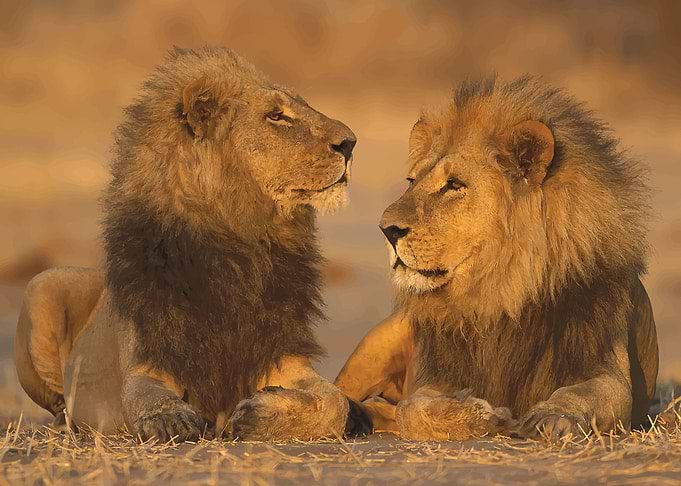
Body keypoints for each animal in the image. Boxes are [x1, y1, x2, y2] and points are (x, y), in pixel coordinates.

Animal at [15, 47, 358, 442]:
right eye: (276, 115)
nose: (350, 143)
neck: (241, 244)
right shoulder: (147, 361)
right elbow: (146, 398)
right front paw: (171, 418)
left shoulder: (283, 357)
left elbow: (337, 403)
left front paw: (258, 413)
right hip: (44, 282)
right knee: (58, 403)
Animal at [336, 76, 658, 440]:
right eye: (412, 180)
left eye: (454, 185)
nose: (386, 229)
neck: (499, 292)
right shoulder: (434, 376)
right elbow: (412, 408)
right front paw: (485, 414)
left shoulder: (606, 369)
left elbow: (580, 395)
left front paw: (552, 417)